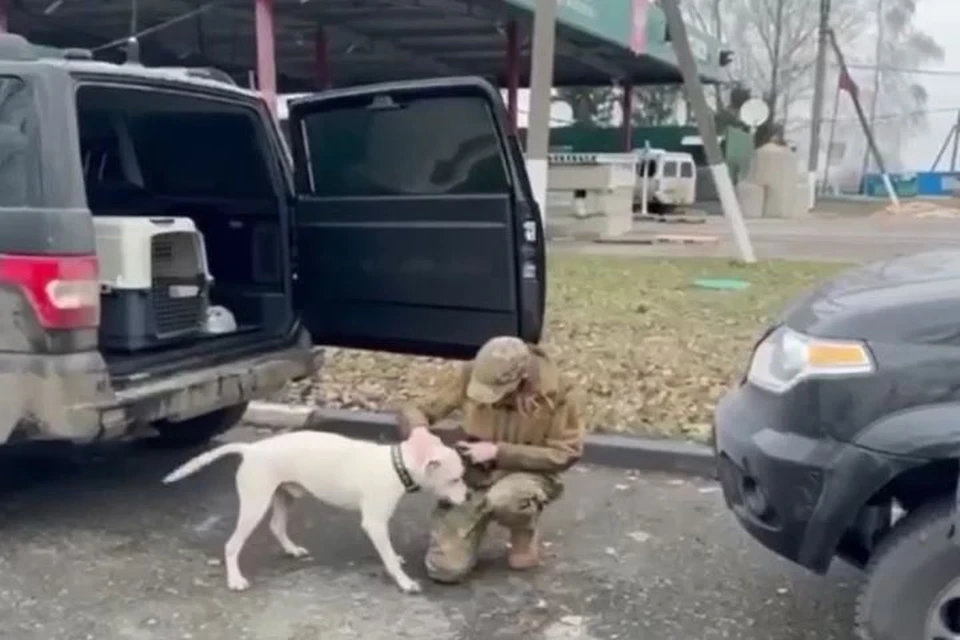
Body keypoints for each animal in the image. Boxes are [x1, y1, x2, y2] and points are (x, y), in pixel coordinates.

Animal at [164, 430, 468, 596]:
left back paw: (291, 549)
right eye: (455, 479)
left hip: (284, 495)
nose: (467, 497)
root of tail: (251, 449)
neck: (397, 466)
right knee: (231, 545)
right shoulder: (374, 523)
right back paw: (235, 580)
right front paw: (405, 582)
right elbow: (389, 558)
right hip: (254, 503)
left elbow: (390, 553)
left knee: (276, 526)